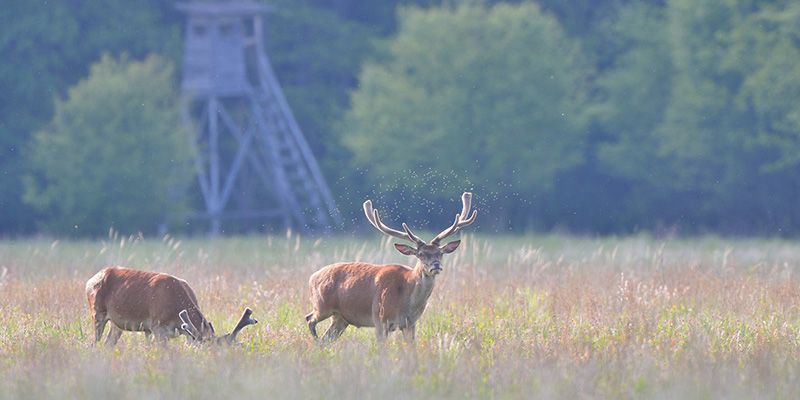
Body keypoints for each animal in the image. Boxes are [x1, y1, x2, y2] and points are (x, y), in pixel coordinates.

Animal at [83, 266, 256, 346]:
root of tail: (89, 280)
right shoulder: (157, 327)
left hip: (117, 324)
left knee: (108, 343)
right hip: (97, 313)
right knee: (94, 342)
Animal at [306, 192, 476, 342]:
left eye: (440, 253)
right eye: (421, 254)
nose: (436, 265)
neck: (406, 302)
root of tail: (312, 276)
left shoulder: (410, 324)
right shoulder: (380, 319)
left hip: (341, 318)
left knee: (325, 338)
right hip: (322, 305)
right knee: (309, 319)